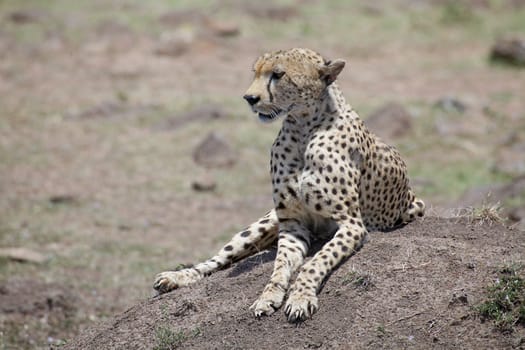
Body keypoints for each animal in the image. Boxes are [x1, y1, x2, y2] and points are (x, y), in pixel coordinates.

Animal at [154, 48, 424, 322]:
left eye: (278, 74)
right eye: (255, 72)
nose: (249, 98)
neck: (303, 127)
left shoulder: (352, 224)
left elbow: (316, 261)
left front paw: (300, 297)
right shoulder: (292, 223)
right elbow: (280, 265)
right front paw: (269, 296)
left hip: (412, 208)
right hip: (263, 224)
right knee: (218, 260)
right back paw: (176, 276)